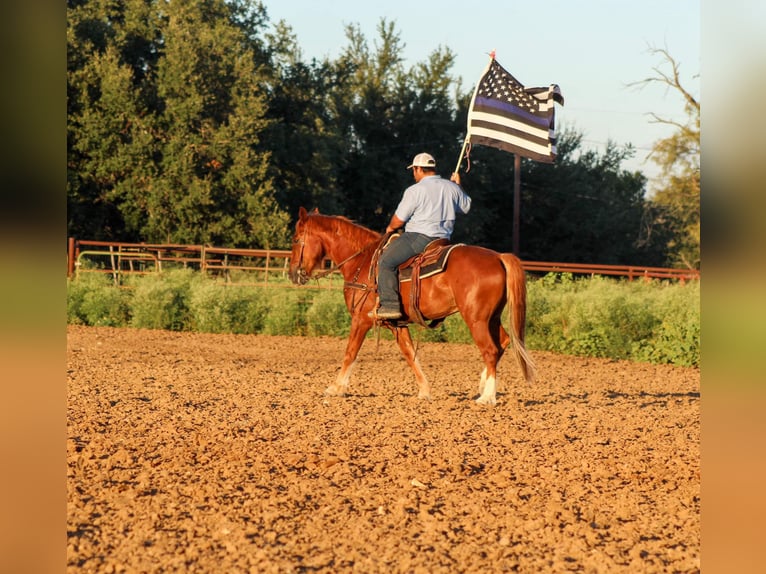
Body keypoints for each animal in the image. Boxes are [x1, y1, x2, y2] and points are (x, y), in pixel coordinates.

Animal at [286, 208, 536, 404]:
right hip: (491, 318)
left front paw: (336, 388)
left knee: (490, 349)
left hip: (476, 319)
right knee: (503, 342)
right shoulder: (395, 324)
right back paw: (482, 386)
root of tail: (498, 257)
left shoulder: (361, 319)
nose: (293, 274)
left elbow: (350, 353)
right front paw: (425, 390)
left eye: (296, 239)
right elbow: (409, 354)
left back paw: (487, 397)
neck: (361, 261)